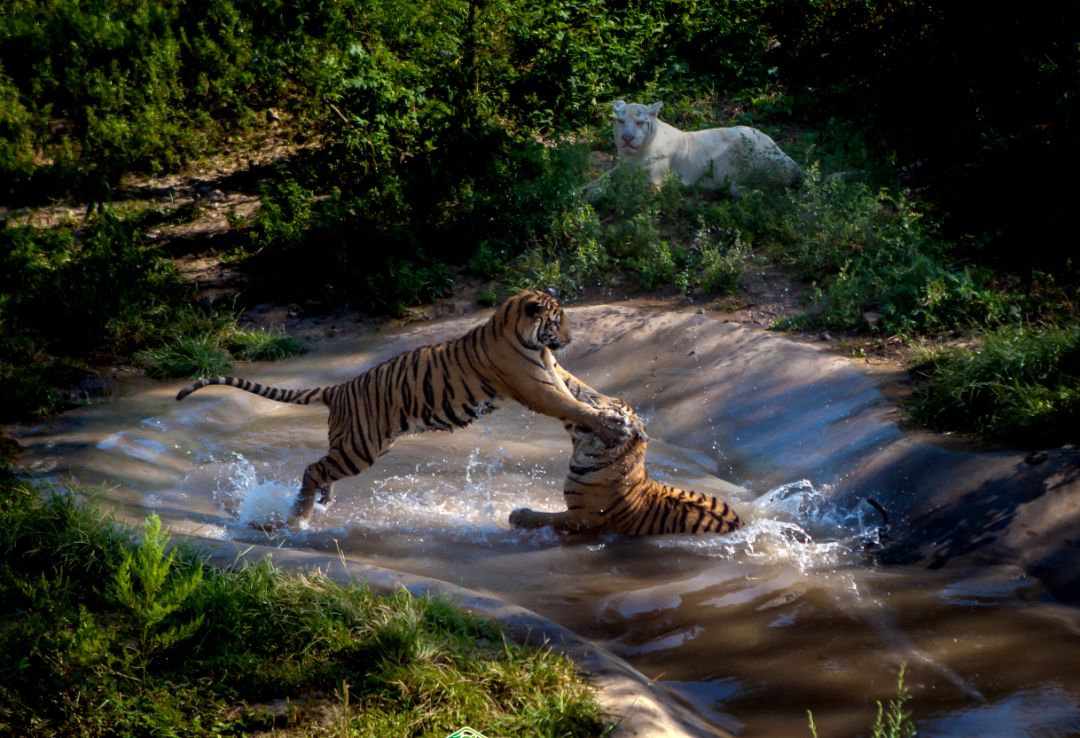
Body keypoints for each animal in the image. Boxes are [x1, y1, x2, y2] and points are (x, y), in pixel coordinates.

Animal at [174, 289, 630, 531]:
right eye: (558, 321)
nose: (569, 339)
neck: (526, 337)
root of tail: (339, 387)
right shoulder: (535, 386)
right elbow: (573, 405)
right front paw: (611, 425)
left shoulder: (553, 372)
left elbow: (582, 390)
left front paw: (612, 406)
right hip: (362, 447)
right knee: (312, 468)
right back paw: (299, 516)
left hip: (353, 444)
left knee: (320, 467)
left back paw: (321, 502)